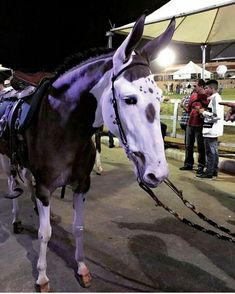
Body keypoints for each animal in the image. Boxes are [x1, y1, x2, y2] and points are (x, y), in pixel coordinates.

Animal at [0, 13, 175, 290]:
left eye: (159, 97)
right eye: (129, 99)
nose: (157, 173)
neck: (62, 127)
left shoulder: (82, 185)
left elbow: (79, 227)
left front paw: (82, 268)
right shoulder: (45, 187)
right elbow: (45, 233)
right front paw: (42, 277)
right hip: (7, 158)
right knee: (12, 185)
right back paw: (17, 219)